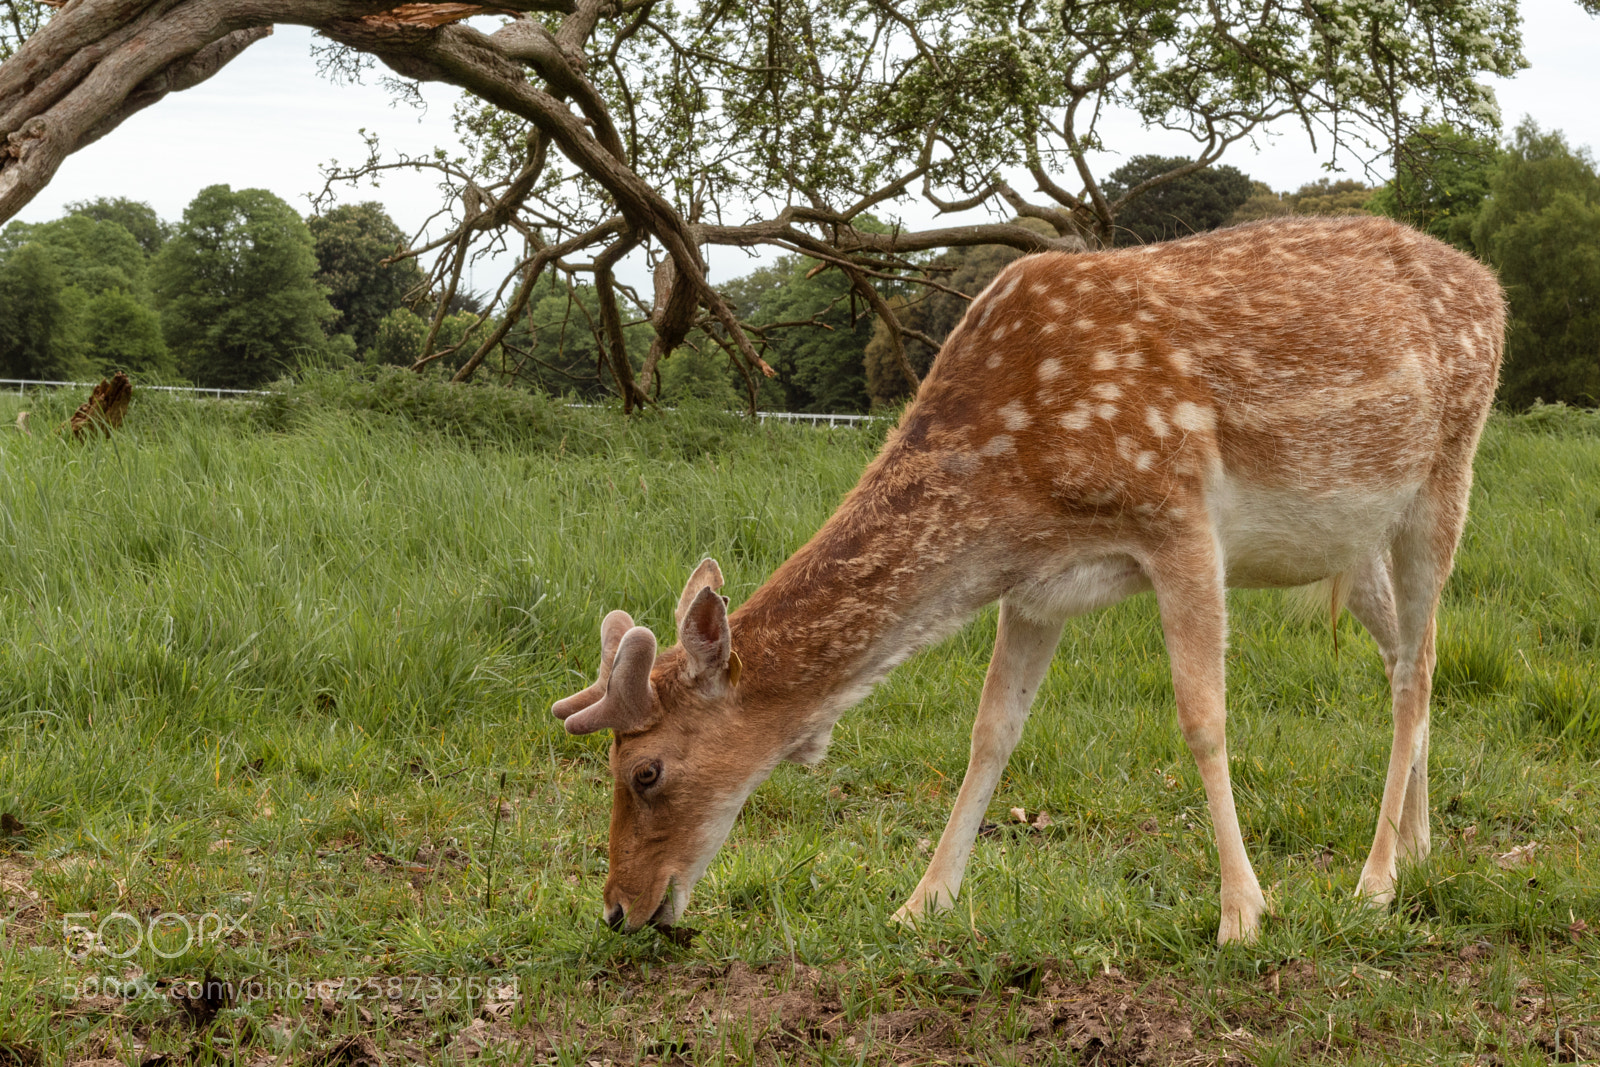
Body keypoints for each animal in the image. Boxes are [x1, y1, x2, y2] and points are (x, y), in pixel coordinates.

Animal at [552, 216, 1505, 945]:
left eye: (645, 771)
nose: (618, 909)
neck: (1014, 484)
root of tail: (1492, 285)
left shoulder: (1179, 513)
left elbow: (1203, 719)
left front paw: (1242, 913)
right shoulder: (1034, 586)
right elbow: (991, 732)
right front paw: (920, 902)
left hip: (1448, 471)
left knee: (1420, 667)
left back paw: (1376, 880)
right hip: (1355, 544)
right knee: (1406, 659)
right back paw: (1417, 846)